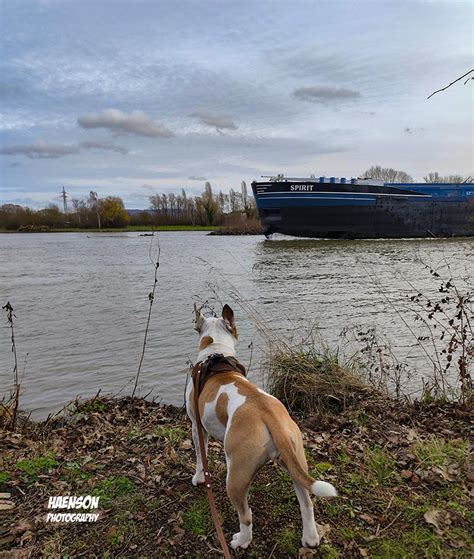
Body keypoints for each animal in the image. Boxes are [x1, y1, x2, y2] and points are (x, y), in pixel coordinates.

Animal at [185, 304, 336, 548]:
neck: (215, 352)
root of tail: (269, 416)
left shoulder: (197, 427)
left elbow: (201, 457)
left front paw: (199, 478)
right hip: (295, 460)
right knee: (307, 503)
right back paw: (310, 538)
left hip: (235, 477)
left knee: (246, 516)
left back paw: (240, 541)